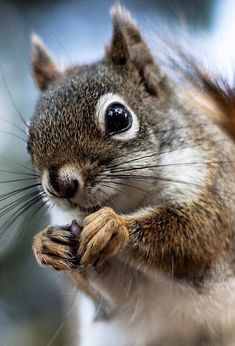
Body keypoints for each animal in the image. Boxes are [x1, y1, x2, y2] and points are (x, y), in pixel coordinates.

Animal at [28, 4, 235, 346]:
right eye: (30, 137)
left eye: (118, 117)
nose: (60, 185)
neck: (129, 199)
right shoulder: (121, 295)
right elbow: (113, 292)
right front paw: (45, 244)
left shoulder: (216, 187)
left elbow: (198, 234)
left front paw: (113, 226)